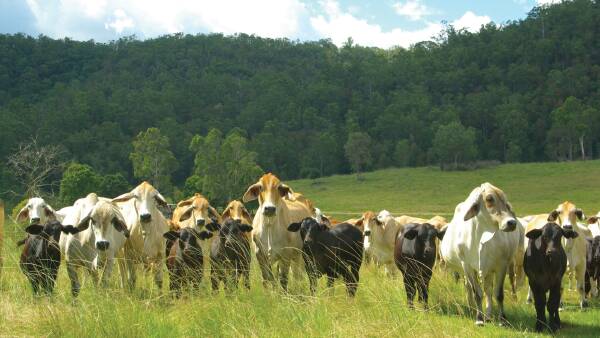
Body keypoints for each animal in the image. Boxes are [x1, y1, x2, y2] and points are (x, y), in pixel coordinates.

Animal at [440, 184, 520, 326]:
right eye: (489, 199)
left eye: (506, 202)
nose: (511, 223)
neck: (482, 235)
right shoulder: (467, 267)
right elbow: (476, 293)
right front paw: (478, 318)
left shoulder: (501, 265)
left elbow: (498, 294)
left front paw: (502, 319)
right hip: (466, 271)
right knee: (469, 288)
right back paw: (473, 310)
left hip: (489, 270)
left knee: (488, 290)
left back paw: (487, 315)